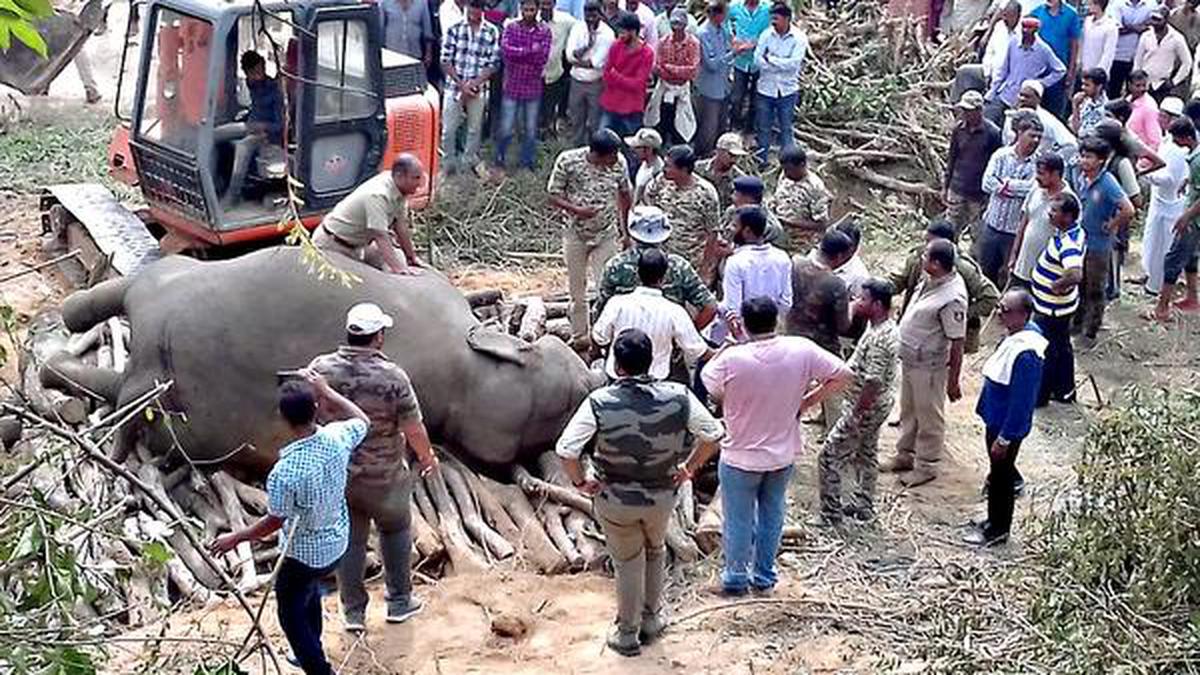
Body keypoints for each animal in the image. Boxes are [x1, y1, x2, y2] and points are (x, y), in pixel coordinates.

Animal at [46, 246, 604, 473]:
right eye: (571, 391)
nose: (598, 376)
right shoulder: (432, 290)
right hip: (166, 284)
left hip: (173, 394)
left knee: (127, 388)